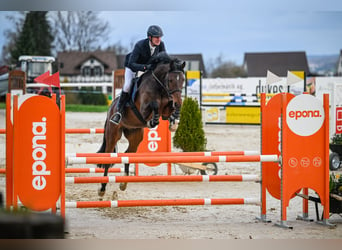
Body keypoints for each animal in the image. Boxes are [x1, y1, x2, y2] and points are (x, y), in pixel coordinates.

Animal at [97, 53, 187, 197]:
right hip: (113, 133)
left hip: (135, 135)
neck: (159, 86)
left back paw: (123, 184)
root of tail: (110, 108)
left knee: (128, 154)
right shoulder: (143, 109)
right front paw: (153, 122)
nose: (178, 102)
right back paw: (102, 189)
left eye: (183, 79)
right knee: (108, 158)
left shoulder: (166, 109)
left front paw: (174, 121)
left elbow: (168, 110)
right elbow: (154, 106)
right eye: (171, 80)